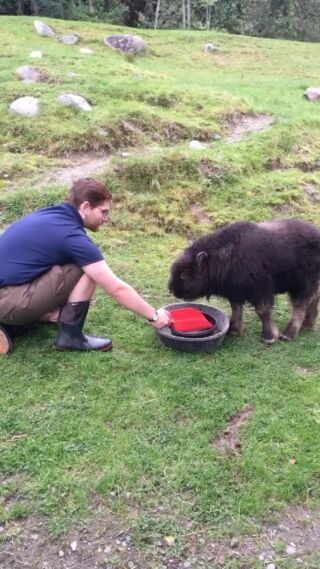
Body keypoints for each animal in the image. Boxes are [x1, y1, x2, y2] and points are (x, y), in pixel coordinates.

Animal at [169, 217, 320, 342]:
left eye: (184, 275)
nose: (171, 290)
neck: (224, 257)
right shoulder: (235, 291)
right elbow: (236, 309)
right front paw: (233, 331)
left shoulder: (260, 290)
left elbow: (262, 311)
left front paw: (269, 337)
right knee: (313, 299)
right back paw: (307, 325)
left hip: (303, 284)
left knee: (301, 305)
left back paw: (288, 334)